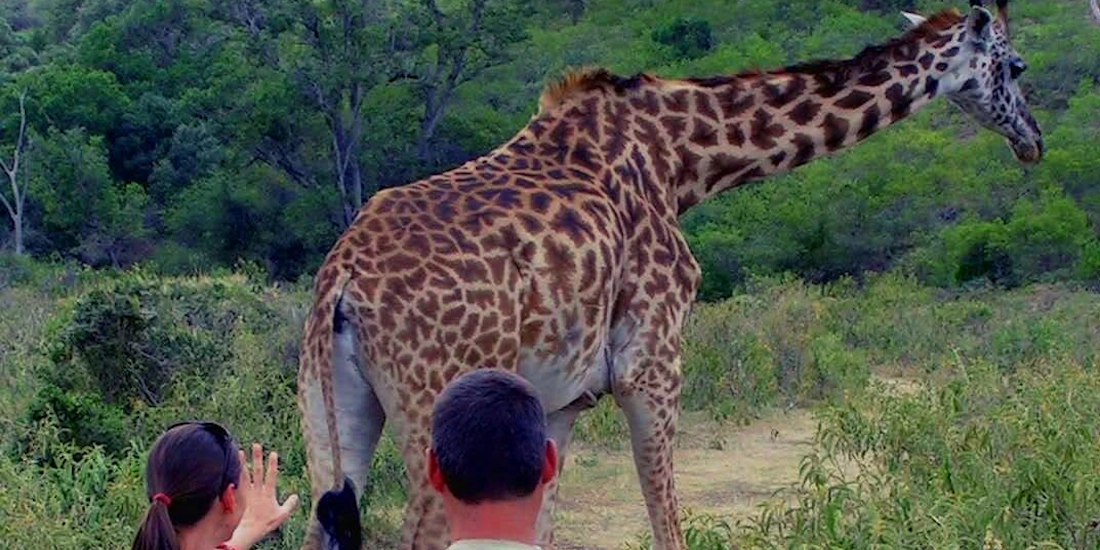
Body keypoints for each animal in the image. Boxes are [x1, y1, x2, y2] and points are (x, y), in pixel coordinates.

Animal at [295, 1, 1041, 549]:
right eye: (1014, 63)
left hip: (330, 410)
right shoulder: (652, 361)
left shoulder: (563, 399)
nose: (1033, 139)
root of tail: (342, 283)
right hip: (429, 402)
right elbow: (665, 519)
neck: (685, 159)